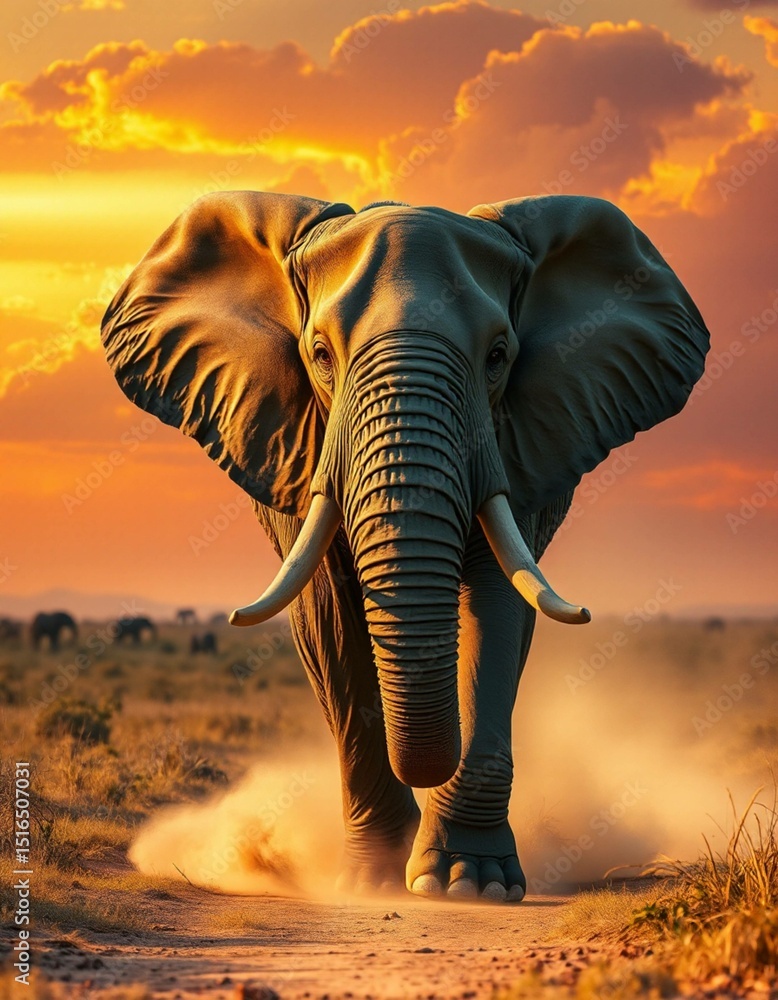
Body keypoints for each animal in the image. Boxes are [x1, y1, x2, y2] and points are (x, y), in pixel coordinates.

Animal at [101, 192, 708, 903]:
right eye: (320, 354)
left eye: (498, 355)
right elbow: (331, 620)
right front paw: (372, 883)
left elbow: (497, 608)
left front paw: (470, 883)